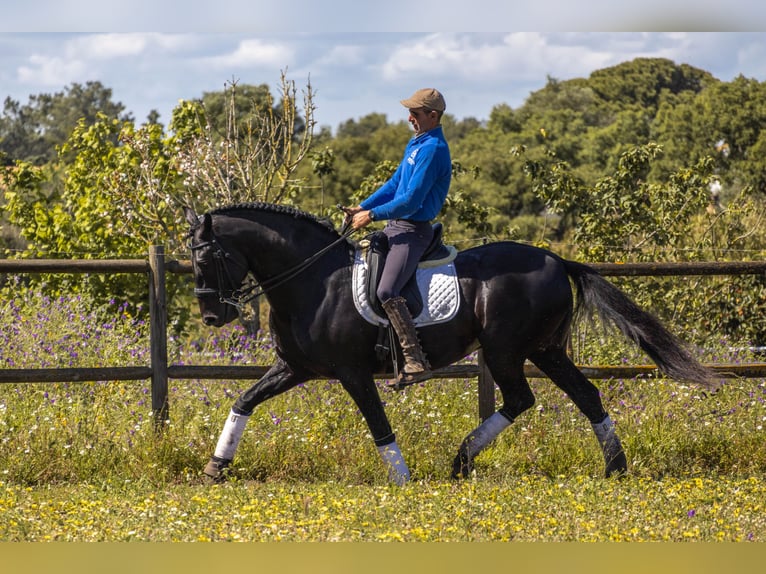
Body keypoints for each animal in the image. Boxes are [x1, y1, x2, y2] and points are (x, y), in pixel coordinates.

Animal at [184, 202, 720, 486]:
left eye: (207, 258)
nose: (213, 316)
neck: (314, 280)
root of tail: (555, 259)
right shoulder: (295, 368)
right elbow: (244, 400)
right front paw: (215, 467)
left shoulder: (352, 373)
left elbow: (378, 424)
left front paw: (401, 480)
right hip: (545, 350)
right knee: (584, 395)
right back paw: (614, 467)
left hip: (506, 350)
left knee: (521, 398)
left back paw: (463, 460)